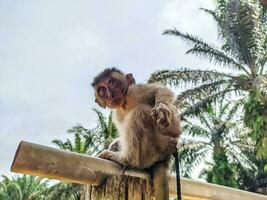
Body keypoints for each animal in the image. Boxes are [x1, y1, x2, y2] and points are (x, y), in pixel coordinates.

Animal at [92, 68, 182, 199]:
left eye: (112, 83)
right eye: (102, 90)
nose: (110, 95)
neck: (124, 104)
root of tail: (167, 154)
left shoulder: (134, 91)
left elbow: (159, 90)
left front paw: (161, 107)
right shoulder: (117, 113)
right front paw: (115, 143)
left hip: (160, 145)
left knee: (140, 111)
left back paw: (126, 159)